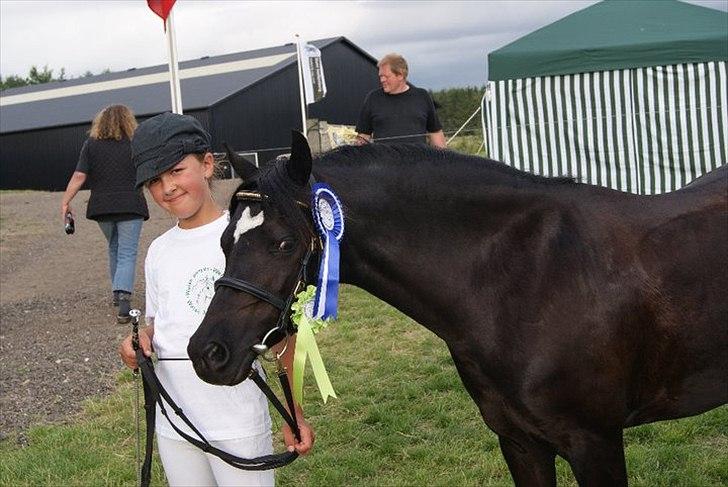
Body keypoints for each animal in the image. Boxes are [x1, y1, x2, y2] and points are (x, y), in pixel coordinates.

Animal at [189, 134, 728, 487]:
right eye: (225, 241)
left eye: (283, 244)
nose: (208, 352)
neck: (527, 279)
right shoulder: (520, 443)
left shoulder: (595, 443)